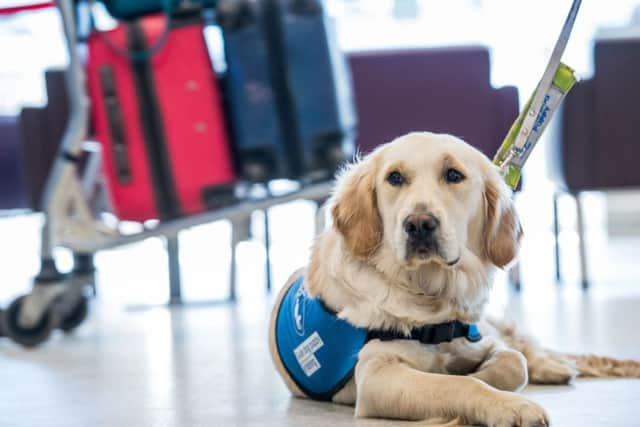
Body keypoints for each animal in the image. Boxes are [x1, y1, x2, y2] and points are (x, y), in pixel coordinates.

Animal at [268, 132, 636, 426]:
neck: (429, 294)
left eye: (453, 174)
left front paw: (487, 375)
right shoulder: (375, 374)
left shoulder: (480, 340)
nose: (419, 224)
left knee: (527, 350)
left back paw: (555, 367)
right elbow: (459, 383)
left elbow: (513, 362)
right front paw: (509, 404)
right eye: (394, 177)